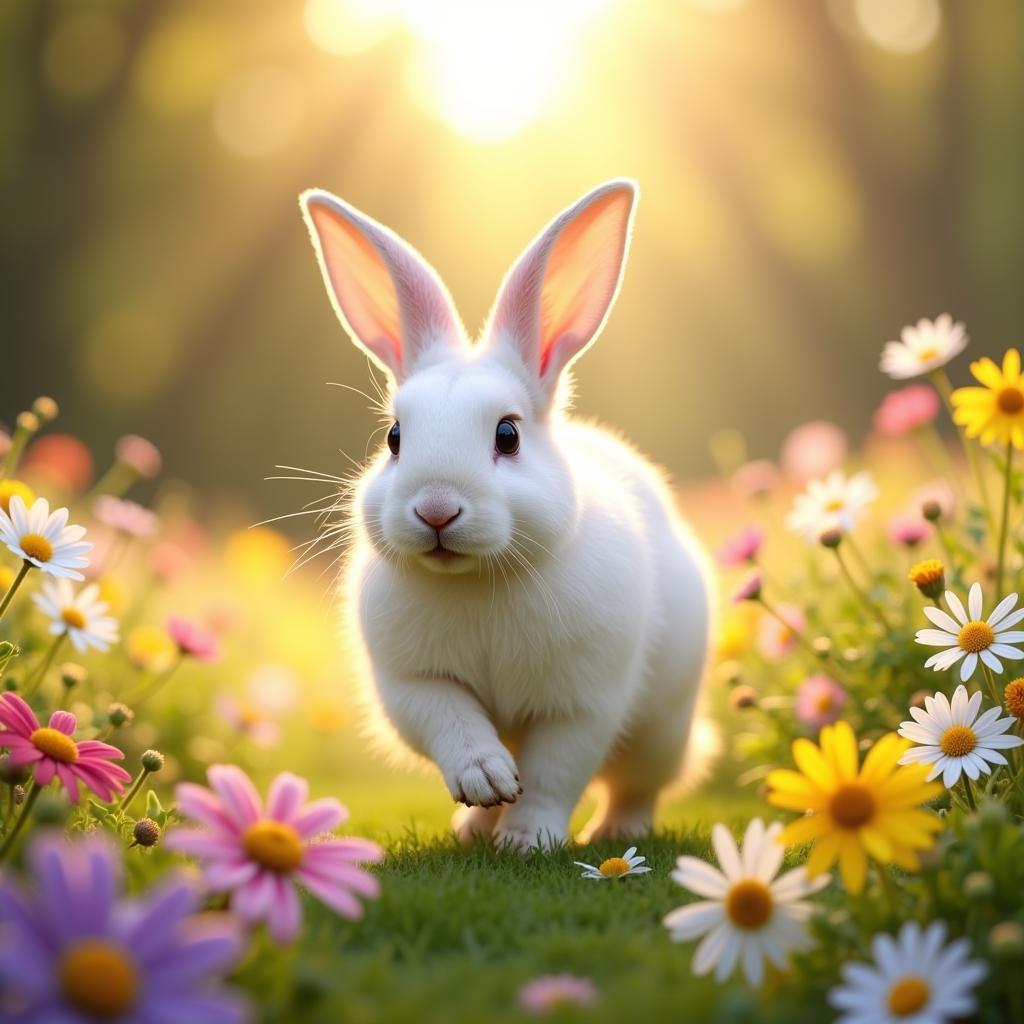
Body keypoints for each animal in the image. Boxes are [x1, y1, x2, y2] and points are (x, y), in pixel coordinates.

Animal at [296, 178, 712, 847]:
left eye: (508, 435)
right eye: (393, 438)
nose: (436, 509)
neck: (477, 581)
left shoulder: (581, 705)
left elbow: (552, 774)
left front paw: (529, 840)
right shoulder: (413, 685)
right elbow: (455, 725)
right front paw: (486, 783)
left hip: (663, 732)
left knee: (636, 786)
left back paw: (616, 833)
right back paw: (473, 827)